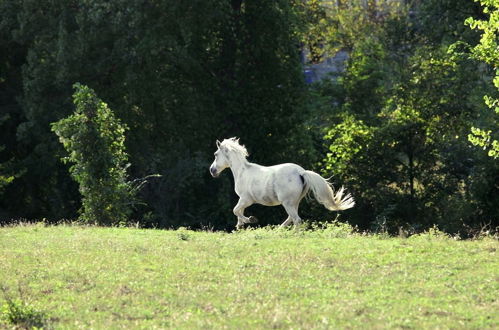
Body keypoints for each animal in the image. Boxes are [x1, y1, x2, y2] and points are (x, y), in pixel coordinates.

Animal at [210, 137, 356, 229]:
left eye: (216, 154)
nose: (212, 171)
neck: (242, 172)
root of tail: (301, 172)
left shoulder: (246, 199)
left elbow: (236, 210)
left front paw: (250, 220)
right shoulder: (243, 200)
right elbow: (238, 212)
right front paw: (240, 226)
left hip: (288, 202)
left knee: (296, 219)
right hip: (294, 202)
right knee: (291, 218)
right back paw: (279, 230)